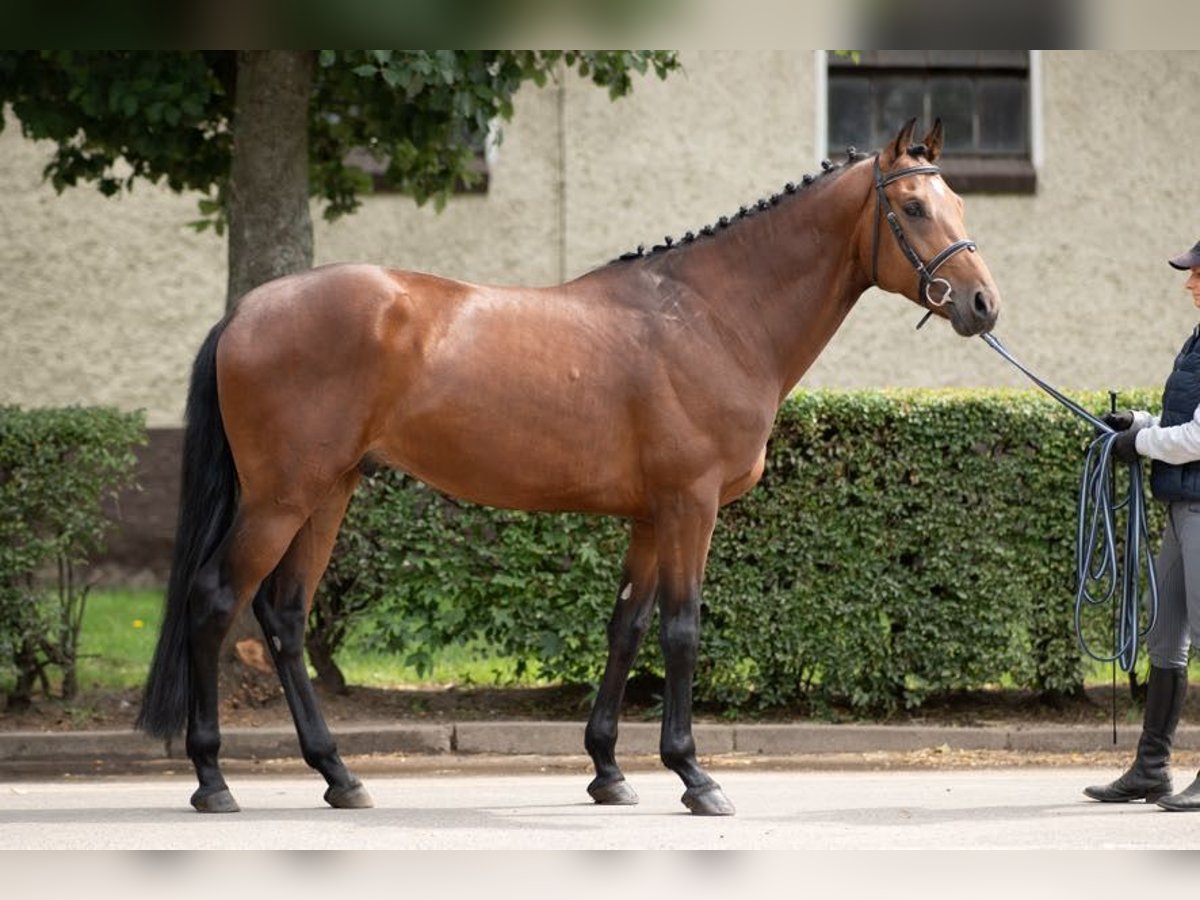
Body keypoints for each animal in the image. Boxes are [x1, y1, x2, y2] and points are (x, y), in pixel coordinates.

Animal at [138, 120, 1003, 816]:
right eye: (914, 208)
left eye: (960, 203)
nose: (984, 305)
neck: (712, 316)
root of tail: (246, 312)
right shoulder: (690, 507)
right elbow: (682, 631)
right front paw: (694, 776)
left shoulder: (651, 518)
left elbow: (626, 628)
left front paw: (608, 771)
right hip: (281, 498)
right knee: (216, 601)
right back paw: (213, 780)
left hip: (328, 493)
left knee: (284, 617)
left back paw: (339, 776)